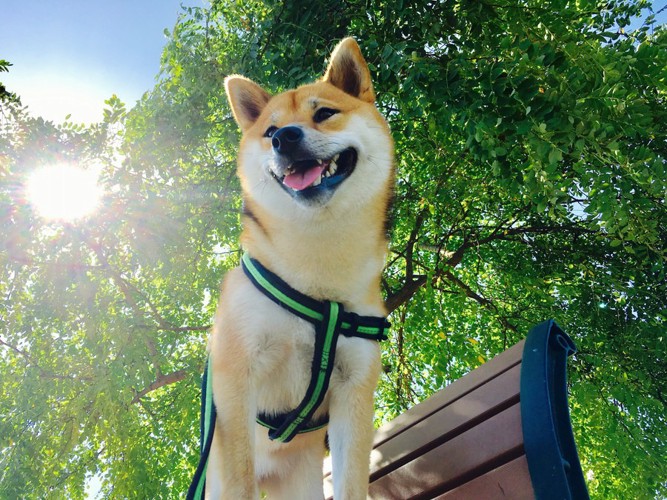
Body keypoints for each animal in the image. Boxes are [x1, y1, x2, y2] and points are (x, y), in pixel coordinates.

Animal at [209, 39, 394, 500]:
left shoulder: (353, 388)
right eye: (270, 131)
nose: (286, 137)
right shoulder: (236, 378)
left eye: (324, 113)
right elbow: (238, 477)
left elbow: (351, 483)